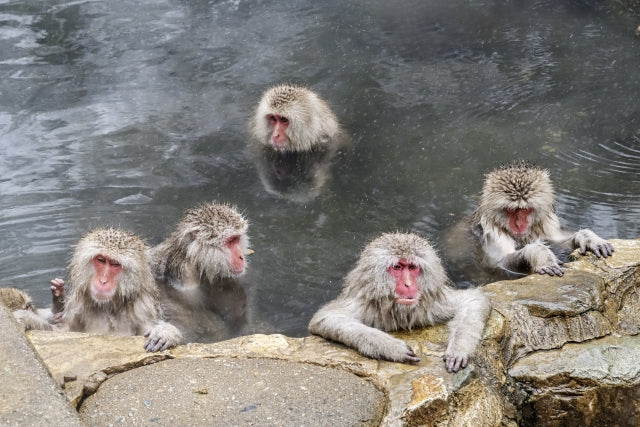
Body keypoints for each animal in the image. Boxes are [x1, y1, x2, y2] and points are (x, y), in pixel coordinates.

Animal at [27, 228, 183, 352]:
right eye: (101, 260)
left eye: (114, 264)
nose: (103, 281)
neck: (107, 307)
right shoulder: (77, 306)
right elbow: (64, 331)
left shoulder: (142, 309)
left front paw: (165, 333)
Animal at [308, 232, 490, 373]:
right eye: (397, 267)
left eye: (412, 267)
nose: (408, 284)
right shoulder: (367, 304)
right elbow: (327, 318)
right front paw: (391, 347)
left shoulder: (431, 303)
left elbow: (473, 300)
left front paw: (458, 349)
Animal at [444, 160, 614, 282]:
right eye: (511, 210)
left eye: (525, 209)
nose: (519, 224)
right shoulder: (492, 231)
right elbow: (499, 263)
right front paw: (538, 253)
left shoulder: (545, 222)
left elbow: (556, 240)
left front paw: (587, 238)